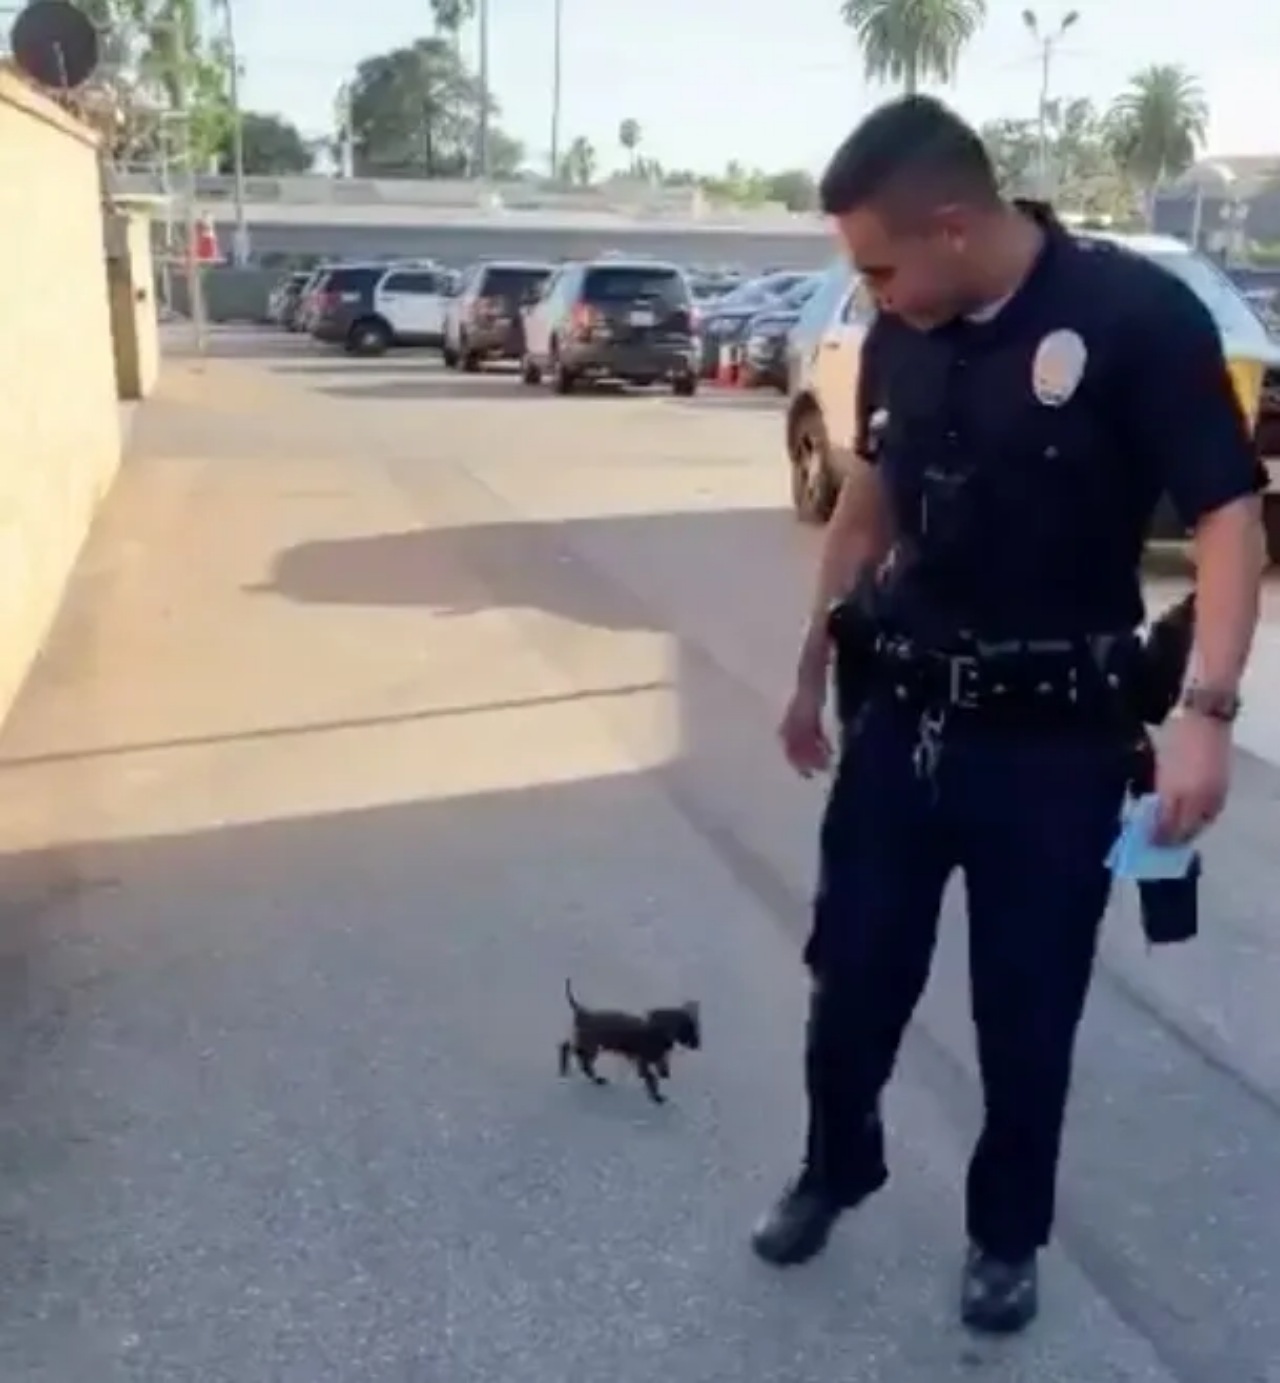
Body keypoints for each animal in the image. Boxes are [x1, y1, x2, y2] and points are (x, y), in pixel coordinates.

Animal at [561, 979, 702, 1106]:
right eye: (690, 1029)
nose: (697, 1045)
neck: (658, 1032)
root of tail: (582, 1013)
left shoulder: (654, 1058)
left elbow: (659, 1068)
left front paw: (663, 1076)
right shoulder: (642, 1062)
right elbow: (651, 1078)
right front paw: (657, 1097)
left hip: (588, 1045)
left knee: (576, 1055)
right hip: (590, 1046)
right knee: (572, 1052)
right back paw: (575, 1072)